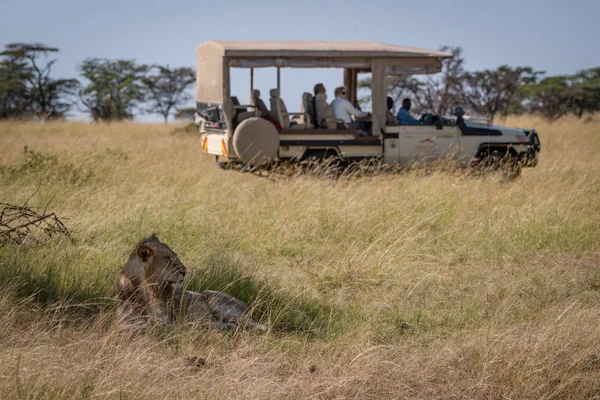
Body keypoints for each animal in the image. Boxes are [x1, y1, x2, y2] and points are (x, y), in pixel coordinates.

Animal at [116, 234, 266, 332]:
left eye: (175, 256)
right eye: (167, 258)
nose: (185, 271)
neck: (141, 289)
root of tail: (243, 303)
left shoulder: (167, 322)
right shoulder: (122, 319)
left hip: (217, 301)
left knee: (259, 326)